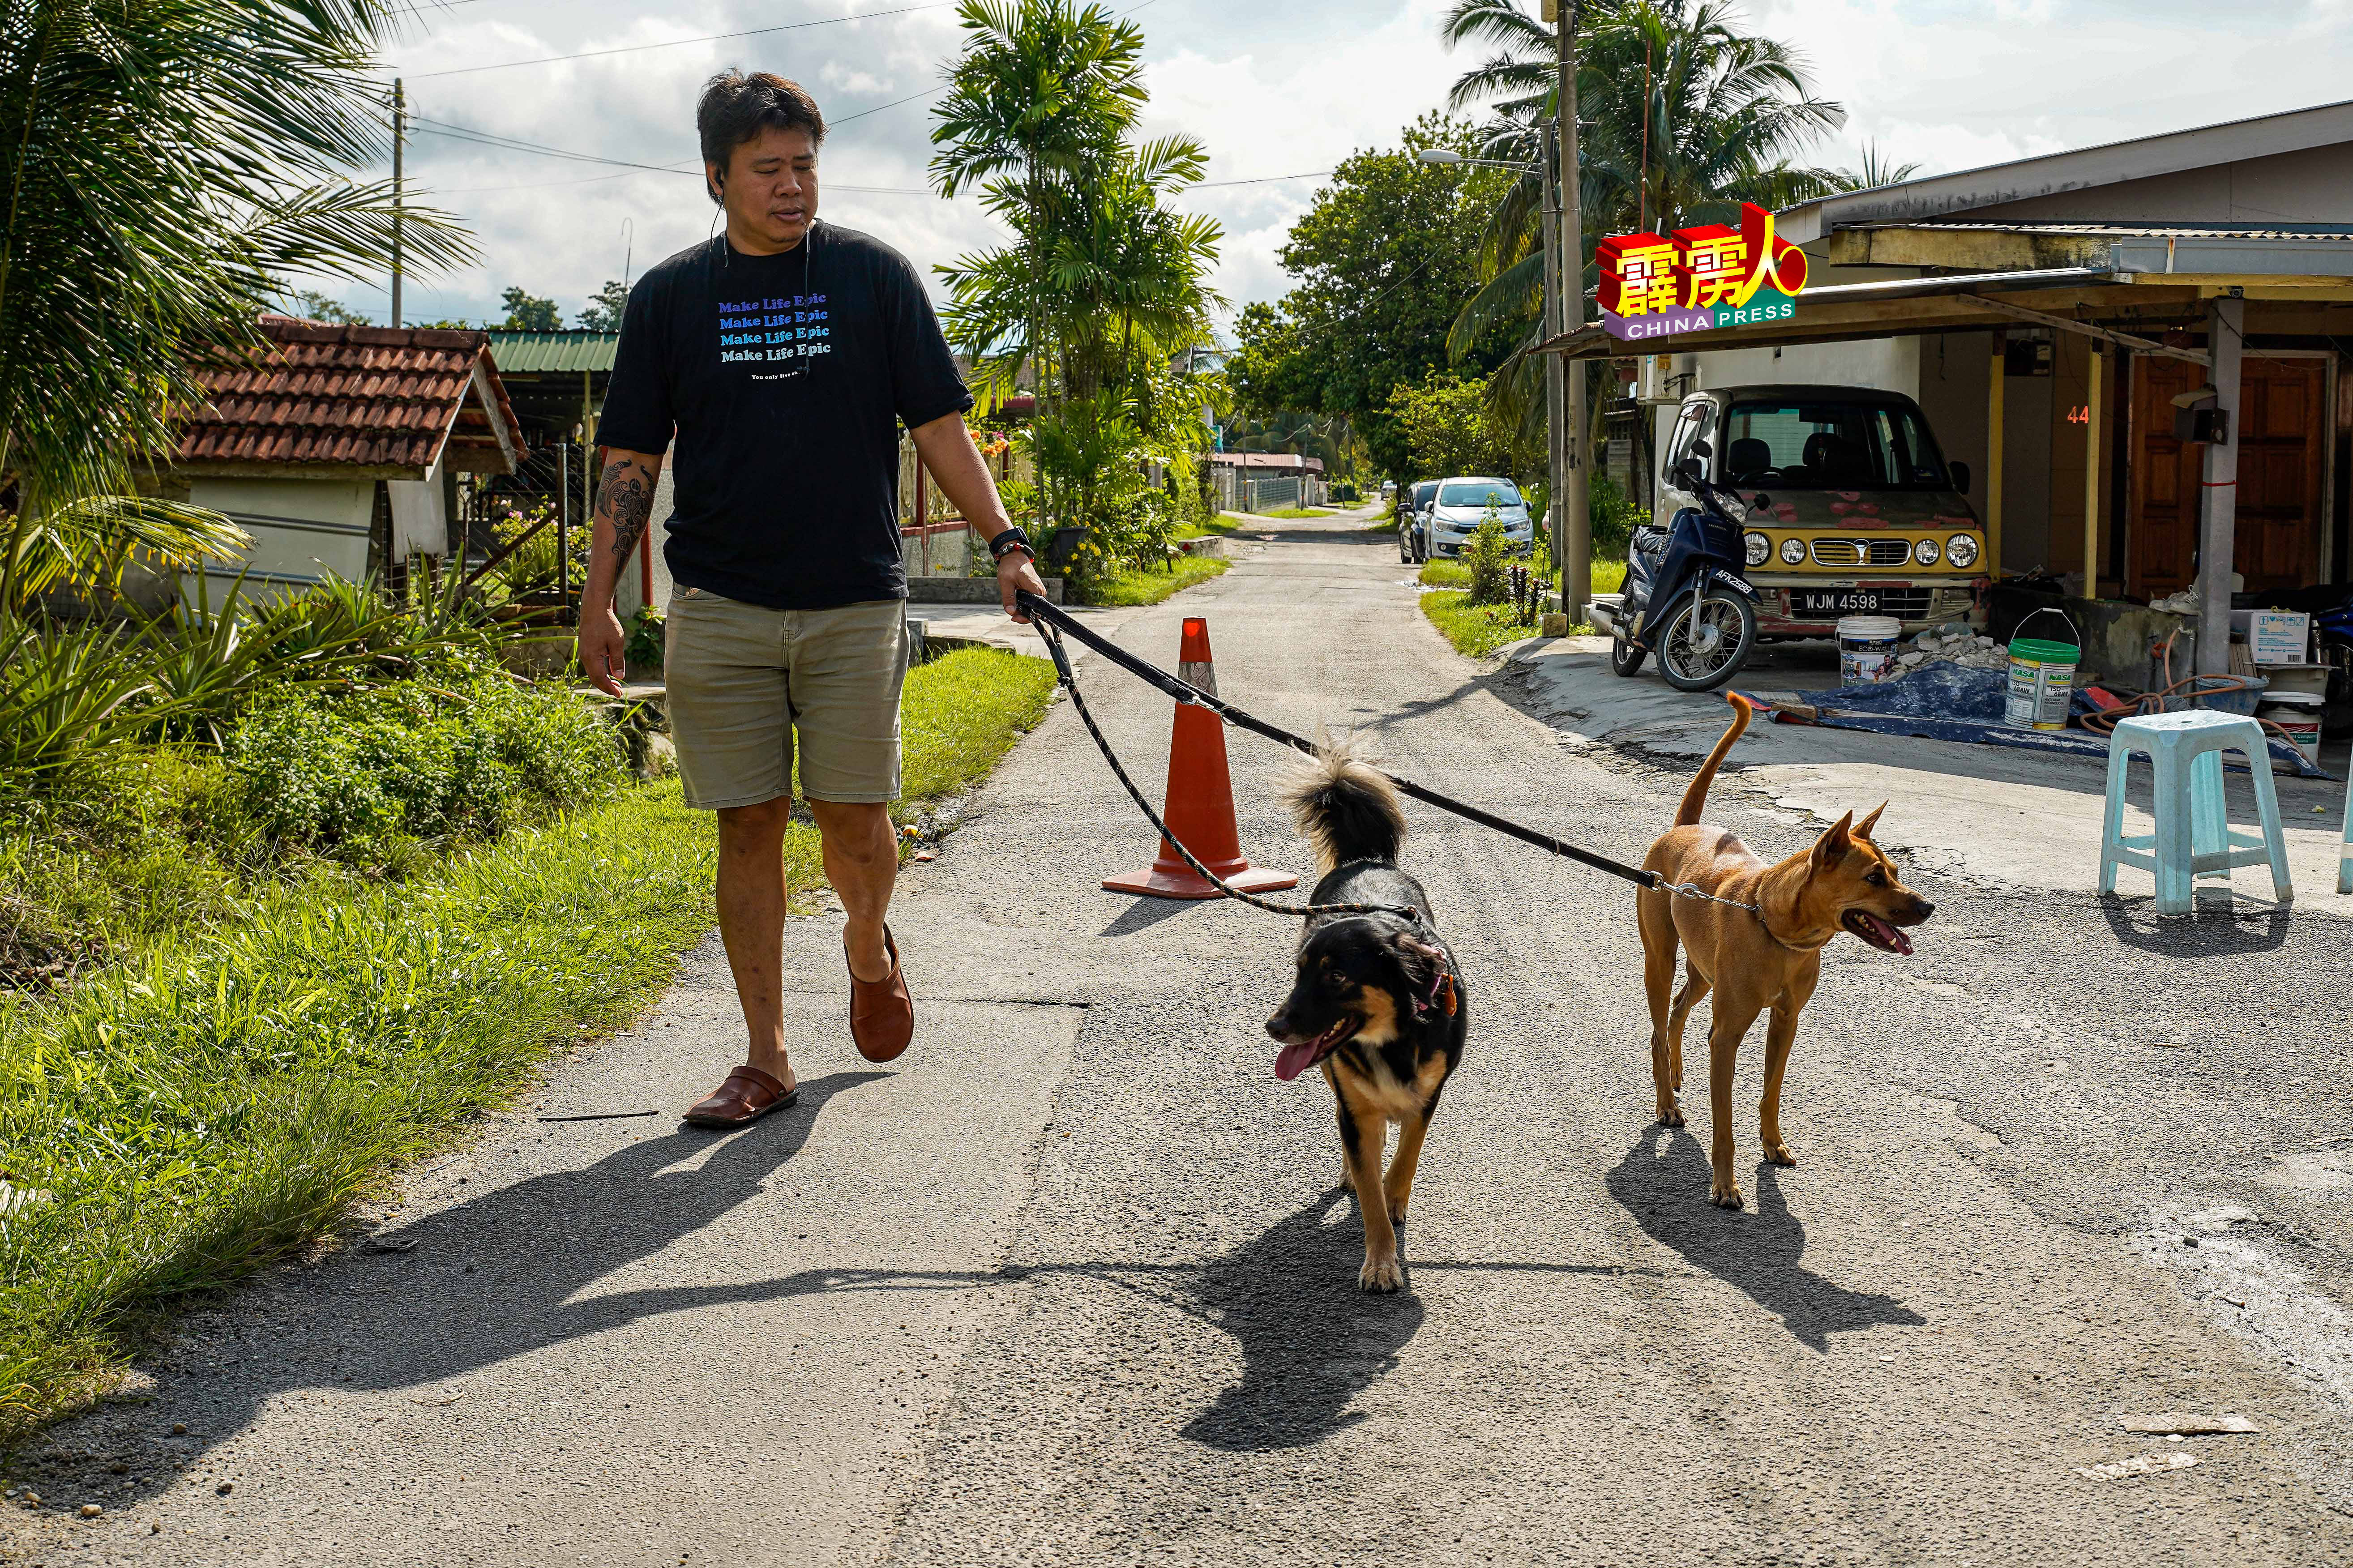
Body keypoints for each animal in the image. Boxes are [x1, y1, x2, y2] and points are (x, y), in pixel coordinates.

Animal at [1261, 739, 1459, 1290]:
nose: (1274, 1028)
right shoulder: (1354, 1104)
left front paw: (1394, 1195)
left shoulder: (1428, 1093)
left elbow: (1407, 1156)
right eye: (1300, 972)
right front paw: (1381, 1261)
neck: (1390, 1039)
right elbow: (1368, 1189)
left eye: (1335, 976)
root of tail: (1364, 859)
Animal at [1647, 692, 1938, 1205]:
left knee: (1680, 1009)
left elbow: (1771, 1091)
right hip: (1659, 960)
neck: (1779, 933)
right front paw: (1725, 1184)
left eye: (1897, 871)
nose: (1928, 906)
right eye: (1874, 877)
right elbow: (1724, 1124)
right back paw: (1667, 1102)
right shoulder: (1726, 1037)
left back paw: (1678, 1075)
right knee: (1657, 1033)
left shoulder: (1786, 1022)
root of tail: (1685, 828)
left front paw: (1773, 1144)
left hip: (1703, 971)